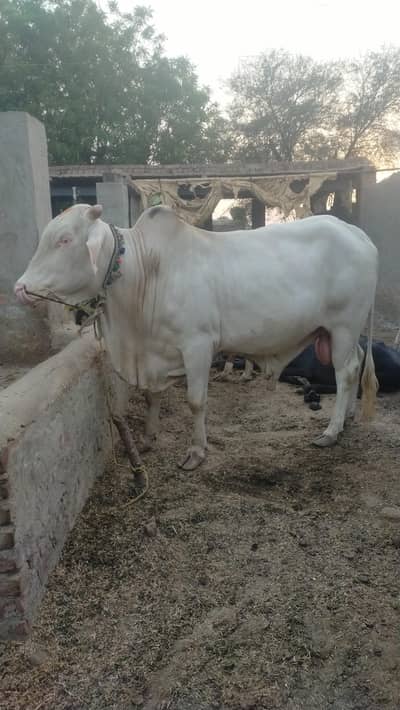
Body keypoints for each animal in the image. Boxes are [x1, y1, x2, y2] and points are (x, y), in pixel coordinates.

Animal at [15, 204, 378, 470]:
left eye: (64, 240)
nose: (19, 288)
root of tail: (356, 233)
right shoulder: (155, 353)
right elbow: (152, 396)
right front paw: (148, 438)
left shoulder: (198, 346)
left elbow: (196, 401)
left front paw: (196, 452)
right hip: (341, 333)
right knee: (357, 365)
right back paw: (347, 417)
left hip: (343, 326)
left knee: (346, 372)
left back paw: (331, 431)